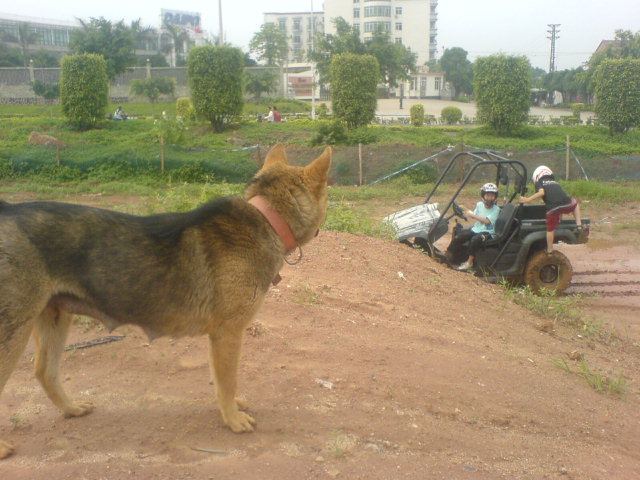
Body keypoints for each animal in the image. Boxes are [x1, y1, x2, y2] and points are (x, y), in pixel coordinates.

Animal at [0, 142, 330, 458]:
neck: (268, 218)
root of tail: (9, 210)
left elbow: (224, 383)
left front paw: (233, 408)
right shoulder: (227, 334)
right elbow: (227, 382)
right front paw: (233, 420)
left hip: (55, 317)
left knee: (45, 371)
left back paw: (72, 409)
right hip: (14, 333)